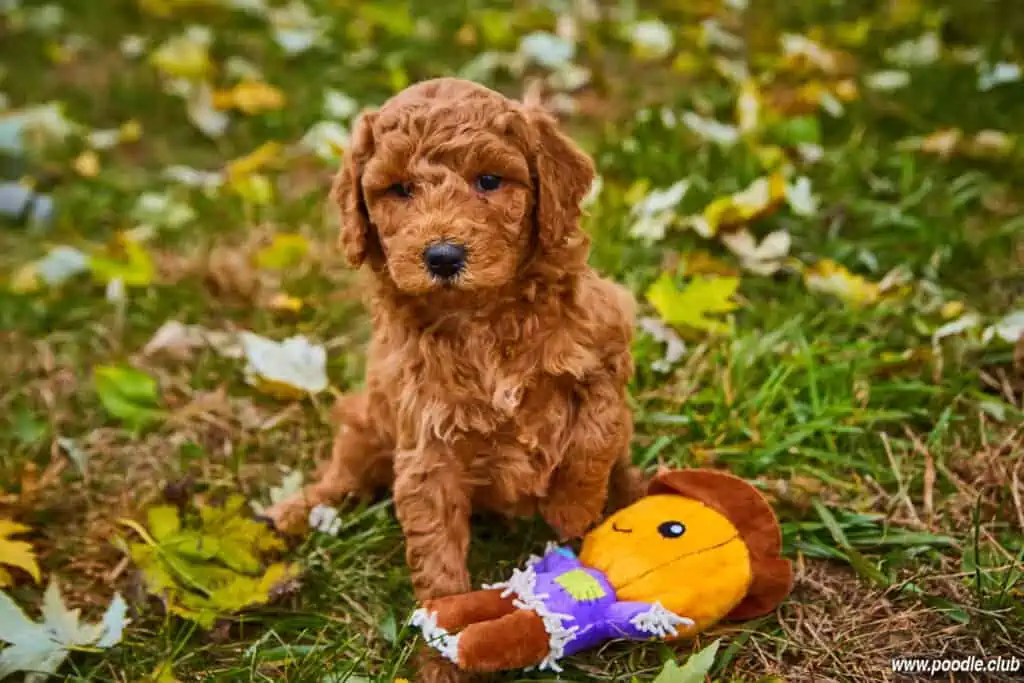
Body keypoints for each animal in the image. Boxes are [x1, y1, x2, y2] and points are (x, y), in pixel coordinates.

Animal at [268, 78, 643, 679]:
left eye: (489, 181)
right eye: (399, 189)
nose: (442, 256)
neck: (481, 318)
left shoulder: (606, 346)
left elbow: (596, 433)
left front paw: (574, 509)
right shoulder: (427, 450)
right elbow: (436, 558)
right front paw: (443, 655)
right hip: (368, 420)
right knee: (343, 473)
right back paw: (293, 511)